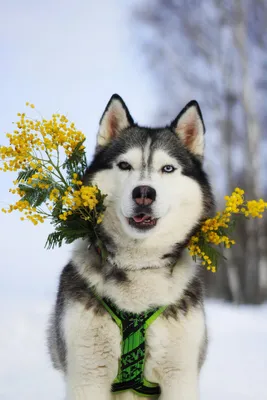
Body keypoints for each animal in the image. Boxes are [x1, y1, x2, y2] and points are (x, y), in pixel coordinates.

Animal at [48, 94, 216, 400]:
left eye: (168, 168)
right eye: (124, 165)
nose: (144, 193)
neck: (139, 266)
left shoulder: (180, 376)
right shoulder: (87, 377)